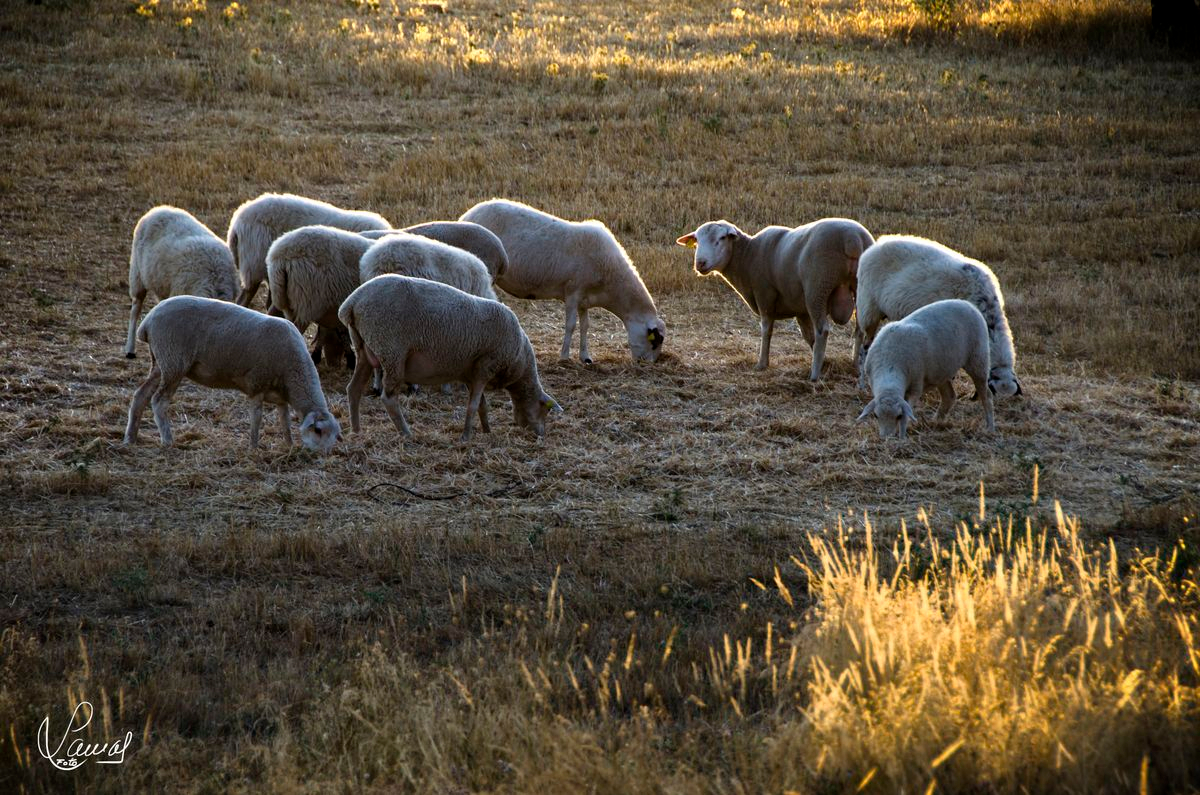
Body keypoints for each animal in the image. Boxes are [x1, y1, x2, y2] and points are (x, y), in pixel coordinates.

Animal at [123, 295, 341, 452]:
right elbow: (257, 419)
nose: (322, 456)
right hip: (173, 362)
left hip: (161, 364)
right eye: (318, 430)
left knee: (141, 395)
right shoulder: (257, 385)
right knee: (159, 401)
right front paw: (253, 448)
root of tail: (148, 320)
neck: (294, 373)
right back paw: (167, 440)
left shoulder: (280, 397)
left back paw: (130, 438)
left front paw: (289, 446)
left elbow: (285, 421)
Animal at [338, 275, 560, 441]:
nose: (541, 435)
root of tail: (351, 303)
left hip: (364, 350)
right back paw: (406, 433)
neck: (519, 361)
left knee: (353, 389)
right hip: (392, 351)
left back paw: (356, 431)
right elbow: (472, 406)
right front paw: (466, 437)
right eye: (544, 411)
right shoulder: (485, 366)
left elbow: (482, 406)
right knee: (389, 398)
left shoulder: (471, 374)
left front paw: (486, 430)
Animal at [459, 198, 666, 364]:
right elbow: (571, 325)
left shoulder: (585, 299)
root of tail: (467, 214)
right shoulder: (573, 291)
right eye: (654, 342)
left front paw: (585, 357)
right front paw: (564, 357)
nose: (647, 364)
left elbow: (585, 326)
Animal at [676, 218, 874, 379]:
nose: (700, 263)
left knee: (822, 330)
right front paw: (825, 362)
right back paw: (856, 366)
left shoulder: (765, 294)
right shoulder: (800, 309)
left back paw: (814, 375)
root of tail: (852, 238)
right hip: (859, 287)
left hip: (818, 287)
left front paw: (762, 364)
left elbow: (766, 329)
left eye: (722, 238)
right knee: (861, 329)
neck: (748, 256)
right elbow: (807, 336)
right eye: (697, 241)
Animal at [856, 298, 995, 439]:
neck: (890, 365)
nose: (886, 438)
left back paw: (990, 427)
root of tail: (967, 303)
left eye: (898, 416)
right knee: (949, 396)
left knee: (986, 395)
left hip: (978, 359)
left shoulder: (915, 387)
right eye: (876, 415)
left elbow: (906, 415)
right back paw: (936, 422)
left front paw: (902, 437)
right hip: (941, 370)